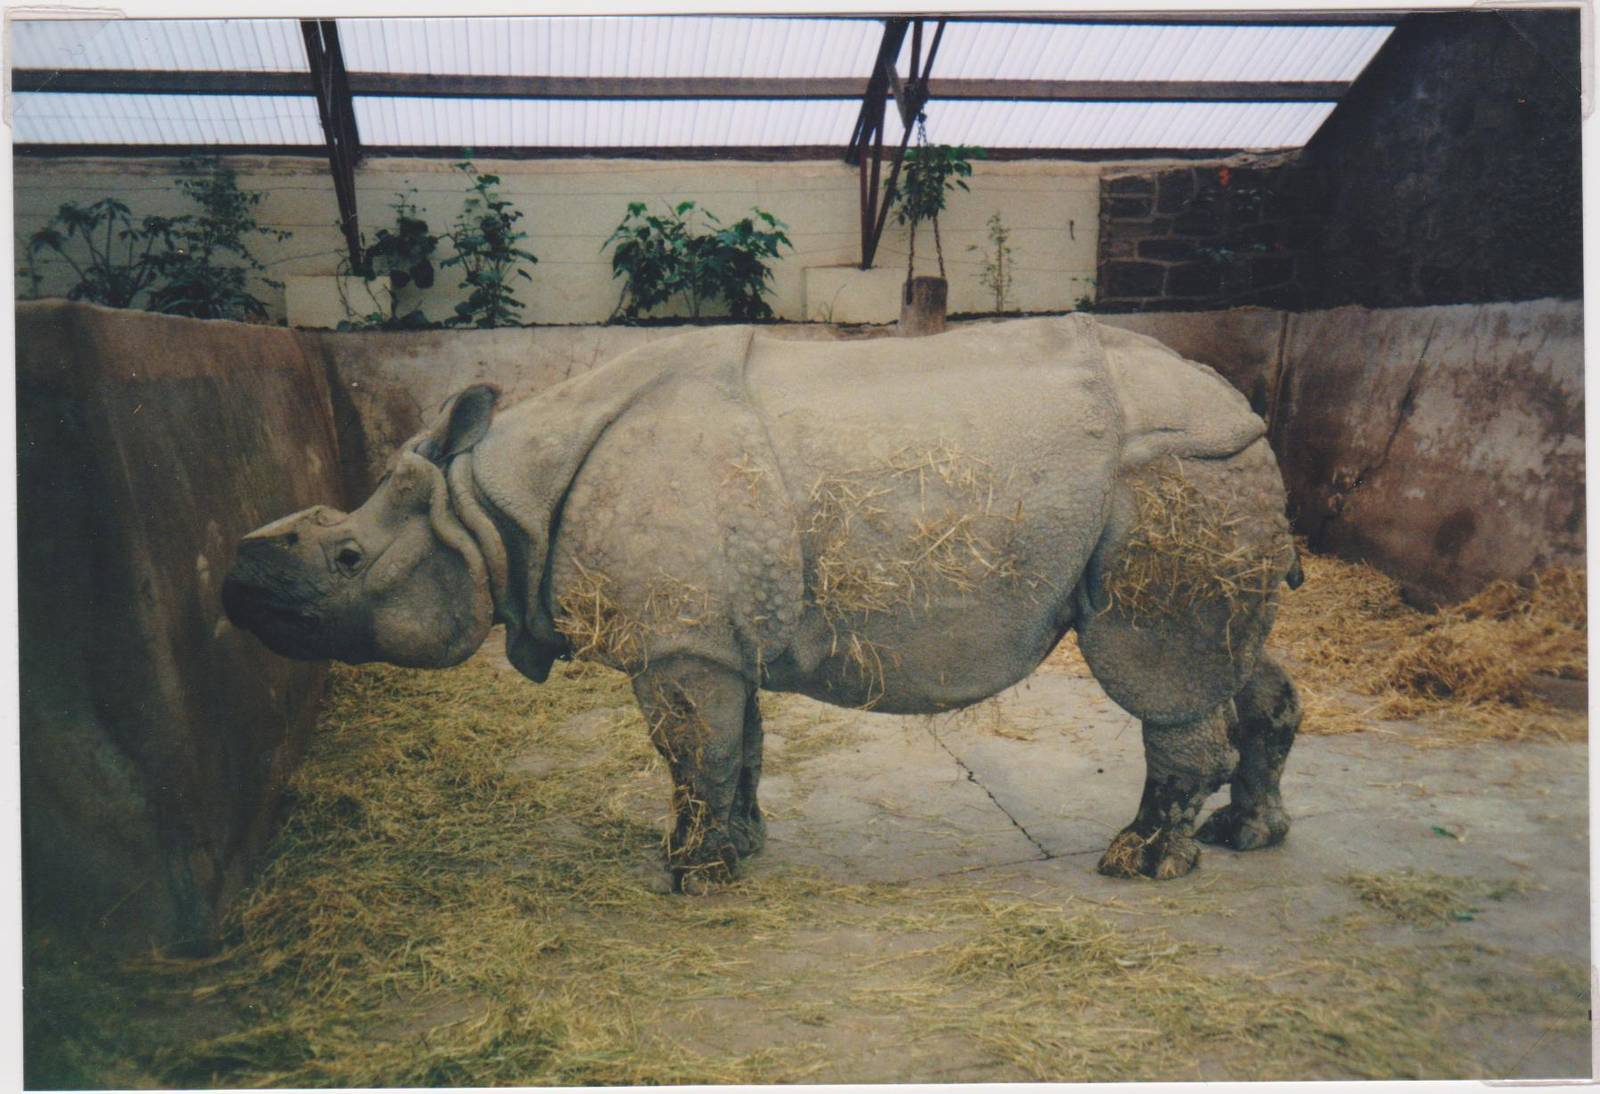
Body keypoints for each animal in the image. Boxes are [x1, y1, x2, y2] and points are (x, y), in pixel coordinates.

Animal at [223, 317, 1303, 889]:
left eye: (346, 557)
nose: (234, 587)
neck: (489, 506)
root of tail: (1243, 407)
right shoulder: (712, 637)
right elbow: (732, 747)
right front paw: (738, 853)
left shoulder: (679, 643)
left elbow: (691, 752)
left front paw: (687, 876)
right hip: (1210, 479)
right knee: (1238, 666)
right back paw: (1246, 836)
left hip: (1170, 476)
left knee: (1157, 673)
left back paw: (1138, 862)